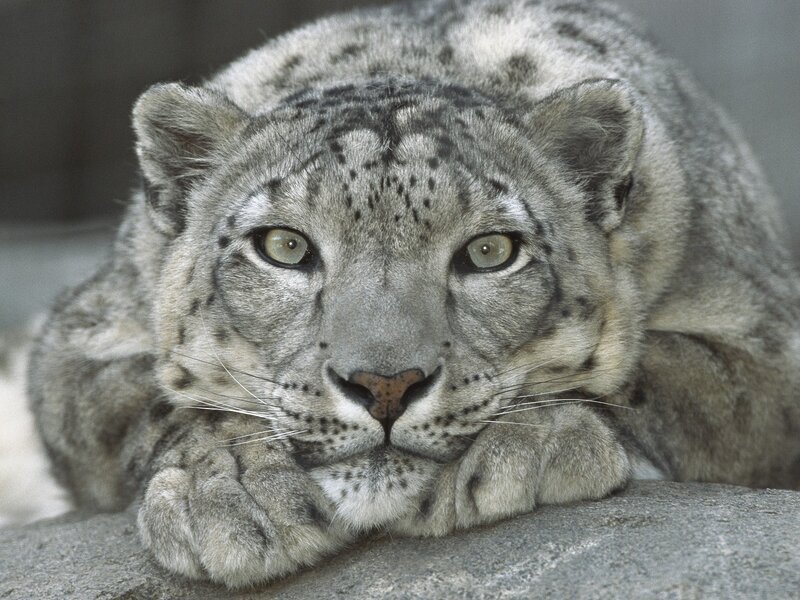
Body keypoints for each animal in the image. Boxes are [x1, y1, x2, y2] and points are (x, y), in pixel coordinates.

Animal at [28, 0, 800, 588]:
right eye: (284, 246)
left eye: (491, 251)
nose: (385, 384)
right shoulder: (82, 337)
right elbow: (150, 398)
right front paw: (233, 492)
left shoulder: (764, 348)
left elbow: (655, 378)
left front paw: (532, 445)